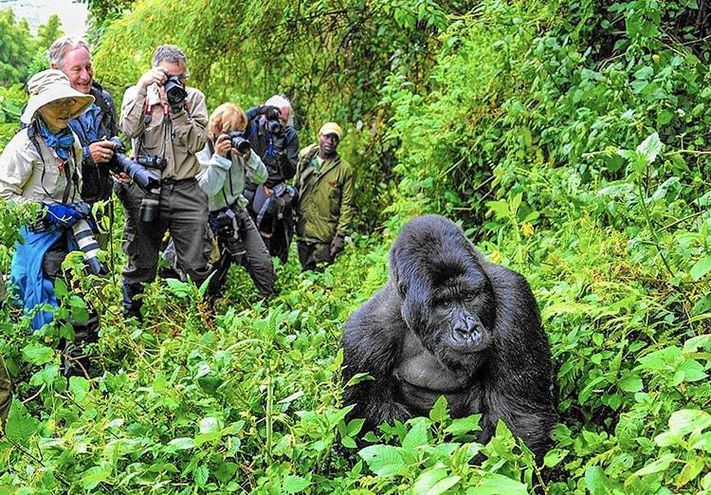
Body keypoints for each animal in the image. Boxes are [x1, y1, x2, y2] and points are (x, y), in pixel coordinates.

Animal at [342, 215, 560, 460]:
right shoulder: (362, 340)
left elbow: (518, 420)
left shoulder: (515, 298)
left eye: (469, 296)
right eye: (445, 303)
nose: (467, 329)